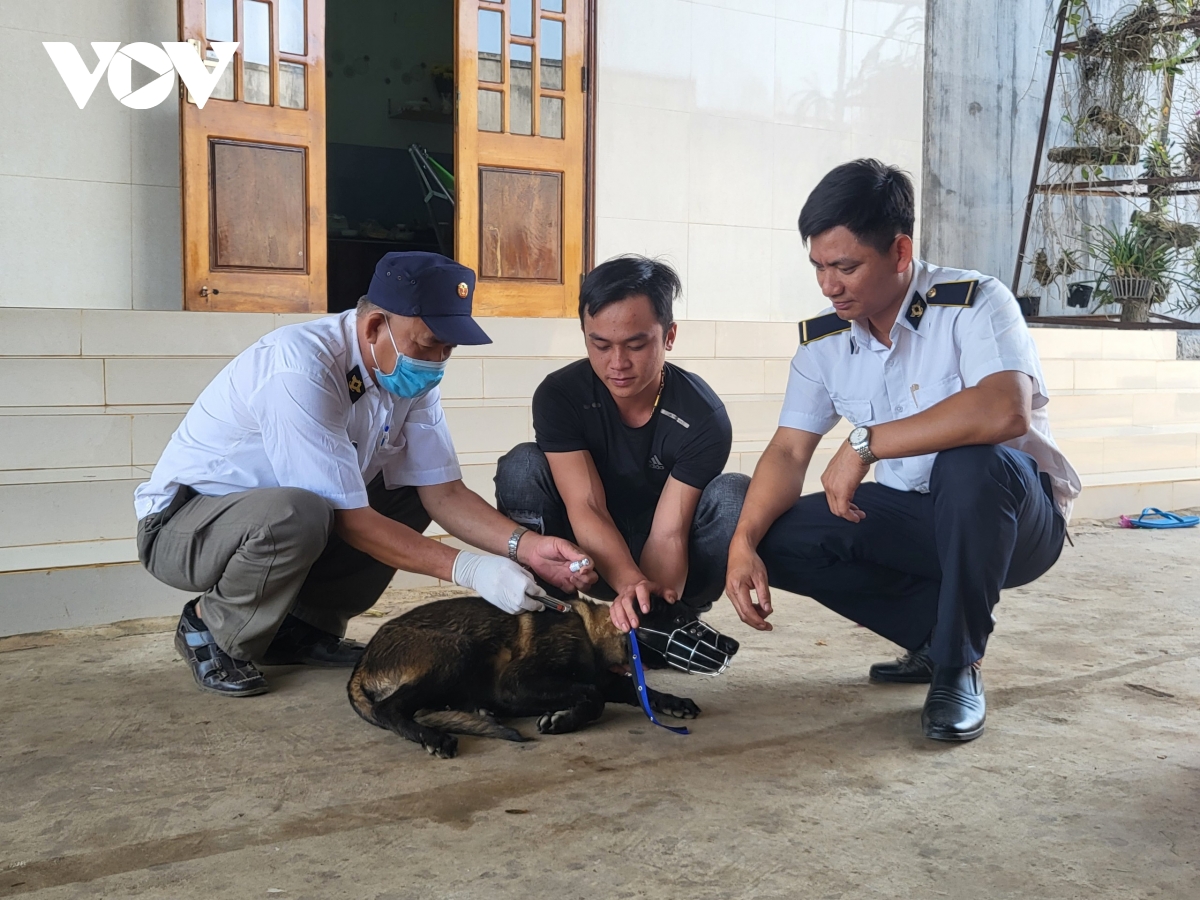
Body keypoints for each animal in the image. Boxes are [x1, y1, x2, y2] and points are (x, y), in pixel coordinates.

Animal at [348, 600, 734, 763]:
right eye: (682, 621)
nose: (734, 645)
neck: (593, 631)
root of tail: (363, 661)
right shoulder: (516, 681)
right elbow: (592, 696)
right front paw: (564, 719)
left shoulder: (610, 680)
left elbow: (635, 689)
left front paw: (674, 701)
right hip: (457, 649)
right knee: (391, 709)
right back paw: (433, 736)